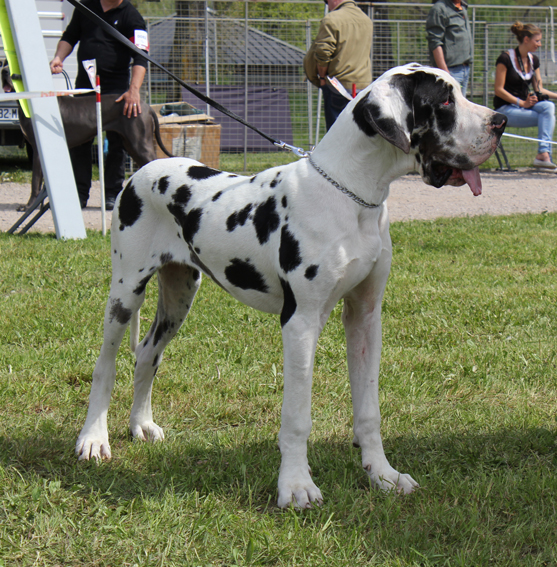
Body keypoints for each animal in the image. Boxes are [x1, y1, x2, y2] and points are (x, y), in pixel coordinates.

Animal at [76, 65, 506, 510]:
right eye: (444, 101)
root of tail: (141, 171)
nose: (501, 121)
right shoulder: (300, 322)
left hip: (179, 296)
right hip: (125, 292)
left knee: (147, 353)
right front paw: (297, 486)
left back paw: (141, 424)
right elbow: (298, 417)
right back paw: (93, 439)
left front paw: (382, 475)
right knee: (105, 366)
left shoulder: (366, 318)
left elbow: (369, 410)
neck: (353, 196)